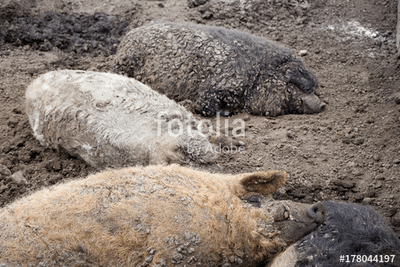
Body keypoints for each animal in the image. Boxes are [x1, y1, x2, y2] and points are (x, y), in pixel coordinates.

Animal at [113, 23, 324, 118]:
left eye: (314, 86)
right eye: (295, 84)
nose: (322, 105)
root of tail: (127, 36)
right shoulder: (218, 84)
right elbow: (207, 104)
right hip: (126, 62)